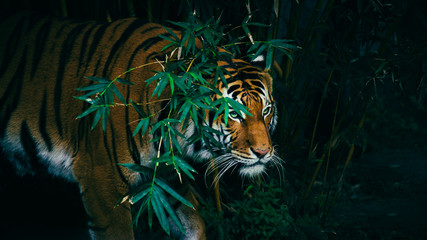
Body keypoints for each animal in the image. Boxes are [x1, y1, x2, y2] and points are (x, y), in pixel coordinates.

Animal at [0, 11, 280, 240]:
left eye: (266, 111)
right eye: (233, 114)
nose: (264, 153)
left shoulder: (165, 179)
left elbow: (194, 223)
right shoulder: (101, 181)